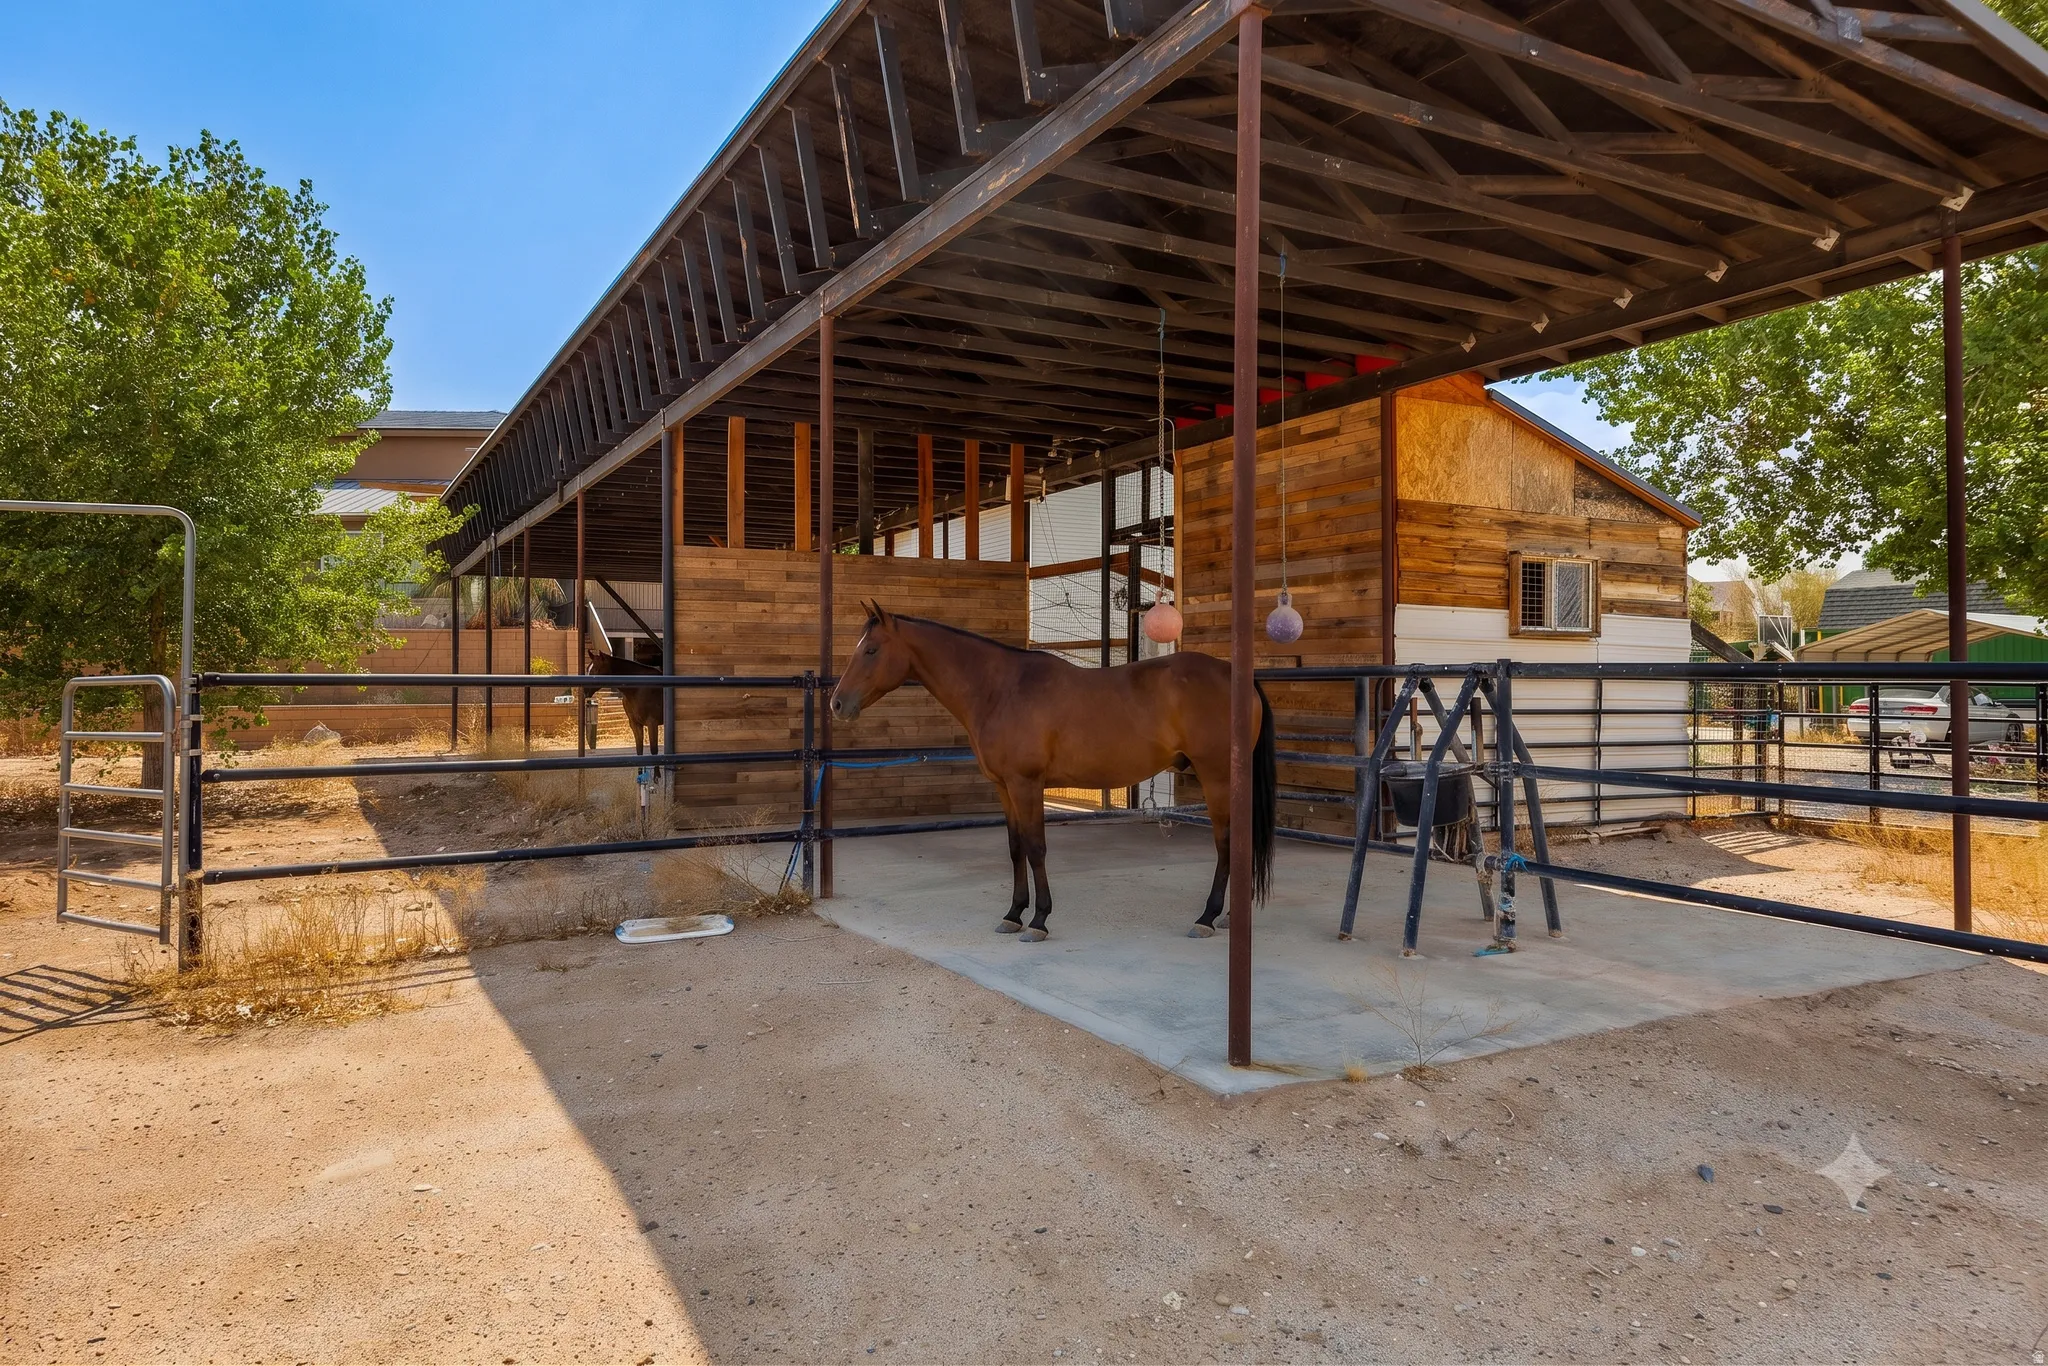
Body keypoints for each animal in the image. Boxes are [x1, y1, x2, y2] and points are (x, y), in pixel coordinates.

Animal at [829, 602, 1275, 942]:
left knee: (1226, 842)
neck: (999, 689)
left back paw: (1207, 917)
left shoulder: (1027, 784)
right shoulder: (1004, 787)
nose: (836, 704)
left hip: (1217, 778)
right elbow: (1015, 849)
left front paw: (1039, 920)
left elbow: (1036, 848)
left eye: (871, 650)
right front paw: (1013, 914)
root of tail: (1237, 677)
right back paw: (1229, 916)